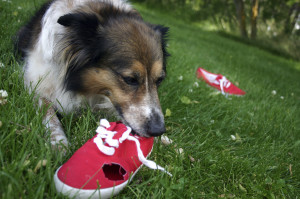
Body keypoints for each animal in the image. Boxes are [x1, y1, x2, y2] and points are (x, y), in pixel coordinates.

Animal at [15, 0, 169, 149]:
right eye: (130, 79)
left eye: (159, 80)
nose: (158, 130)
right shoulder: (36, 85)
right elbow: (48, 113)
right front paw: (59, 143)